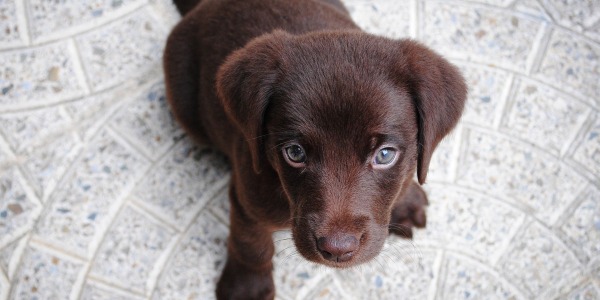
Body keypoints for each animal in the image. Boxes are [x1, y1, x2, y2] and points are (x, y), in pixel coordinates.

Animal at [164, 0, 468, 298]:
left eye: (385, 155)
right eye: (295, 153)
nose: (337, 248)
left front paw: (406, 199)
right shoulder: (247, 197)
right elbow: (250, 243)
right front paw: (247, 287)